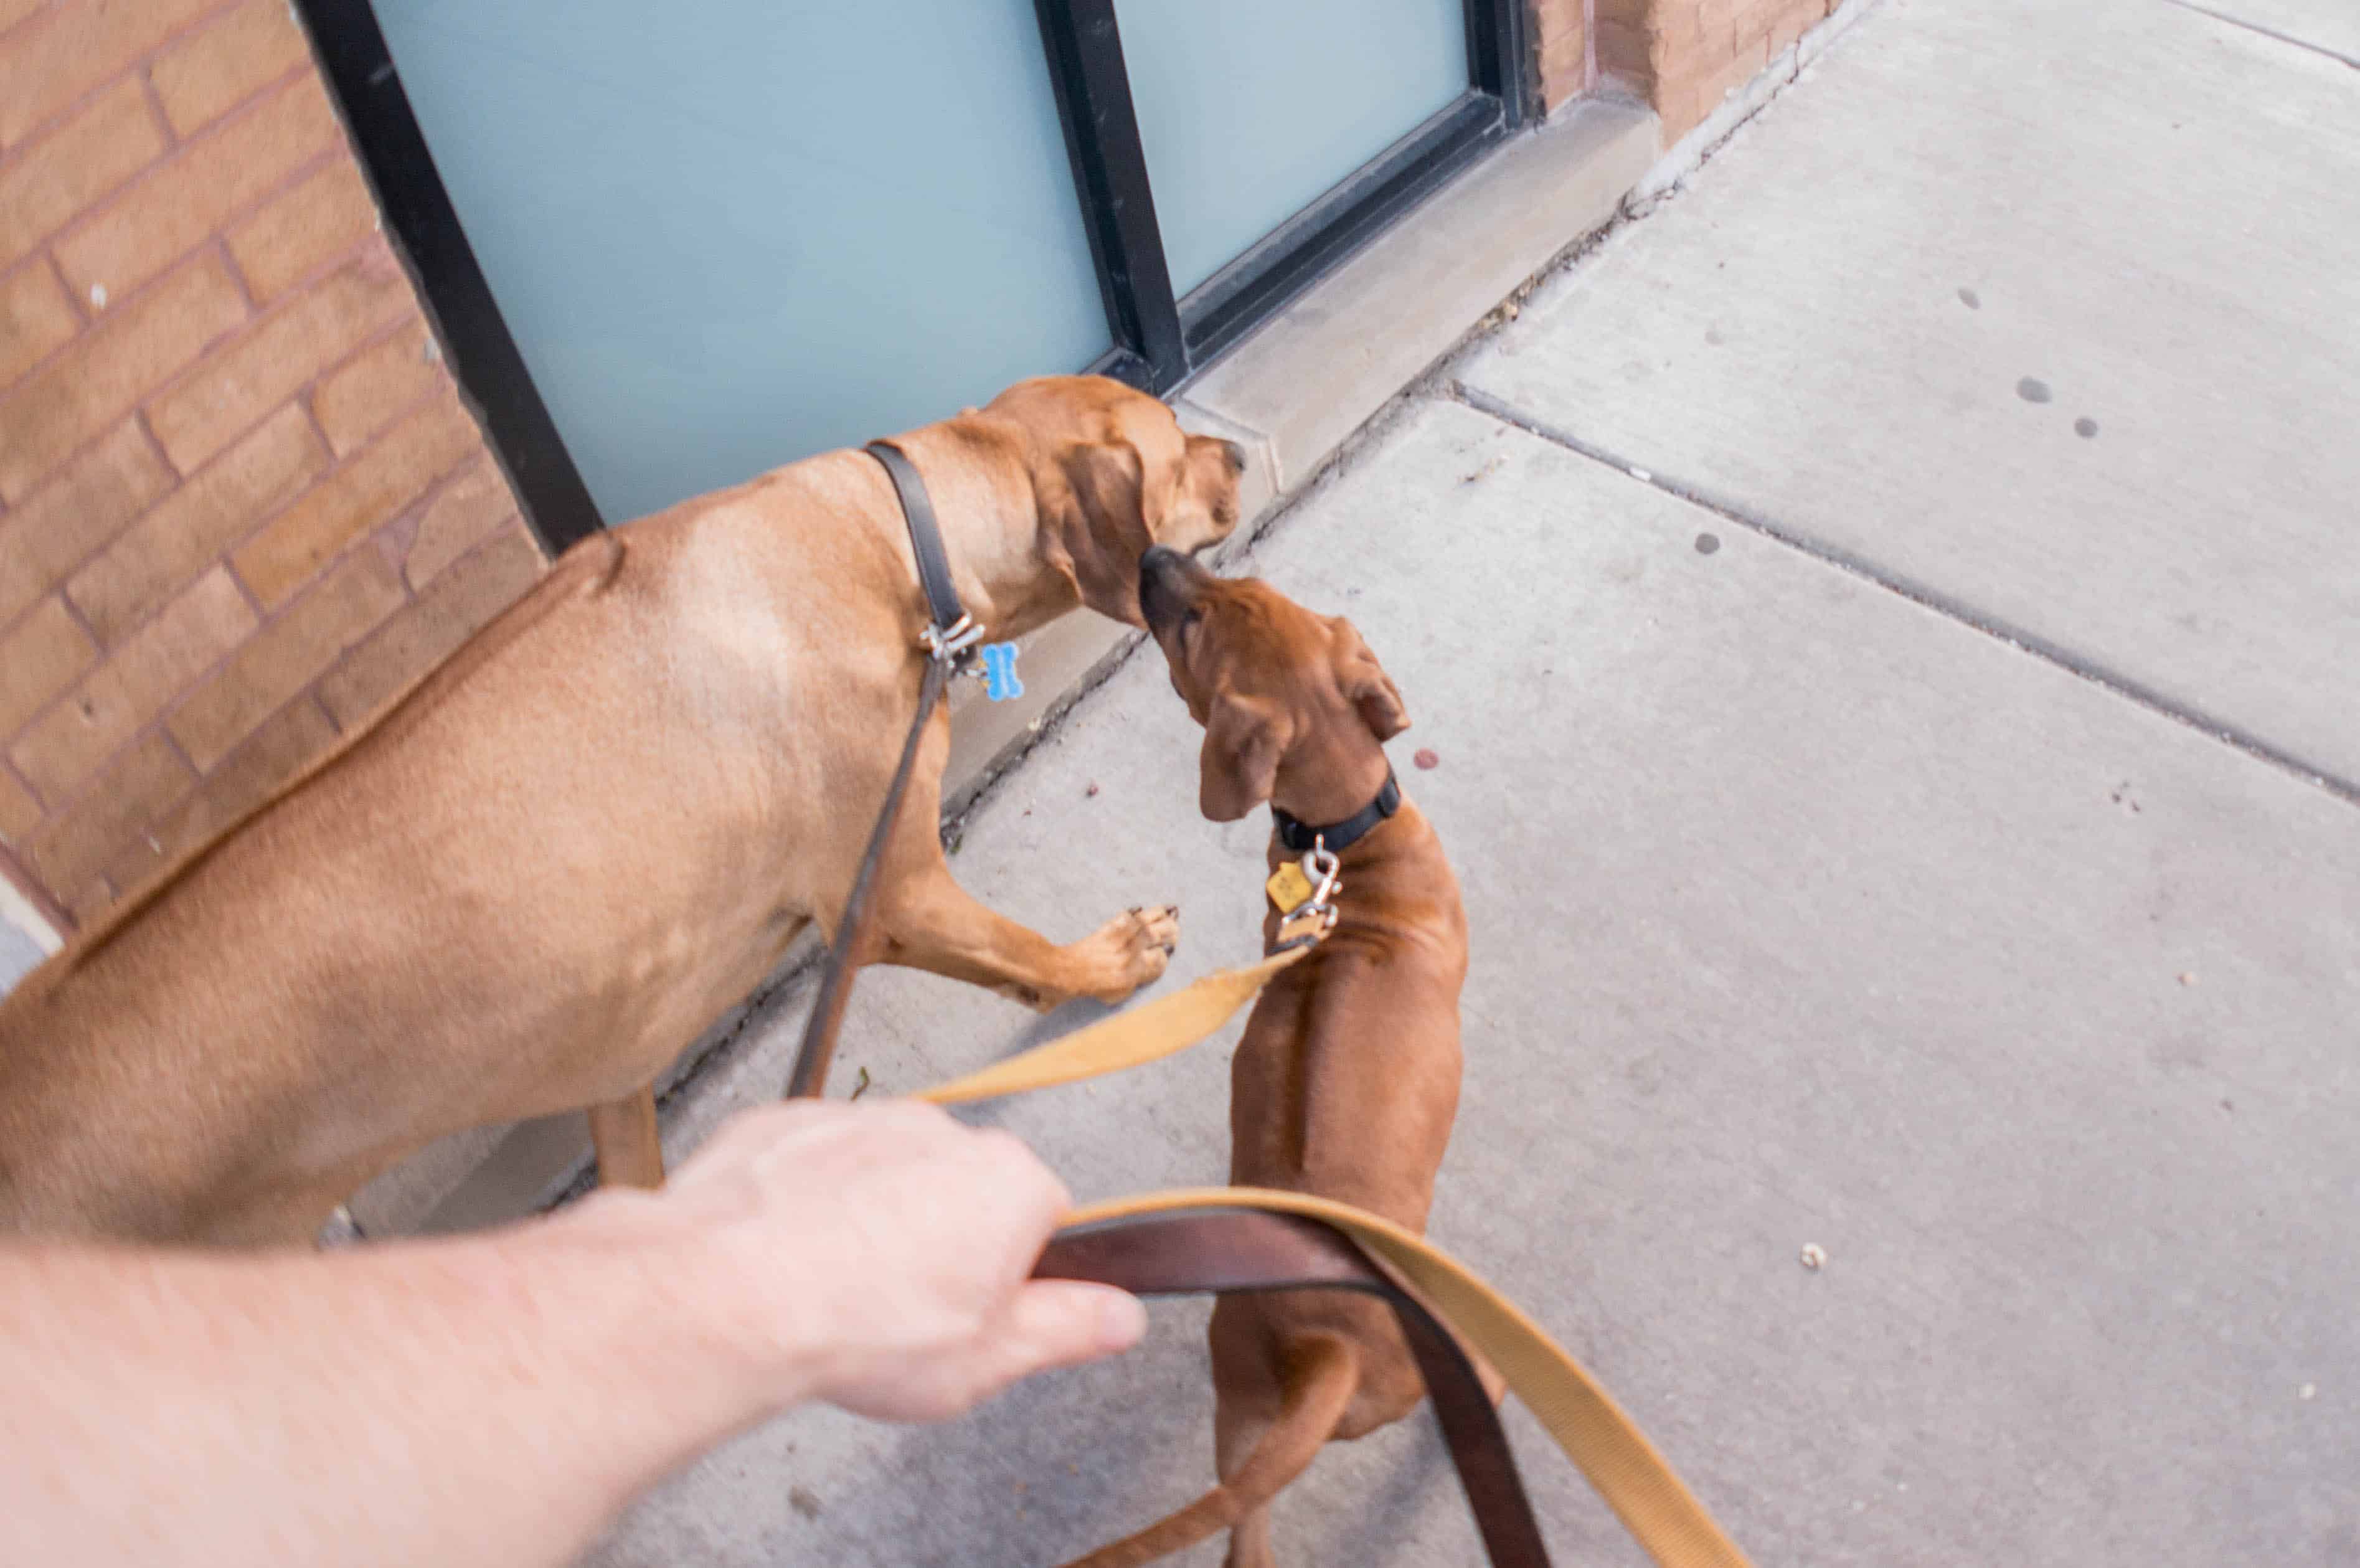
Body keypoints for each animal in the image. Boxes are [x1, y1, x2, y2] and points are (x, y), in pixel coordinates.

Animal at [0, 373, 1246, 1247]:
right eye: (1175, 445)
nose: (1232, 446)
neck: (895, 543)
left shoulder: (615, 1045)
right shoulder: (893, 889)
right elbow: (1019, 948)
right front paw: (1106, 962)